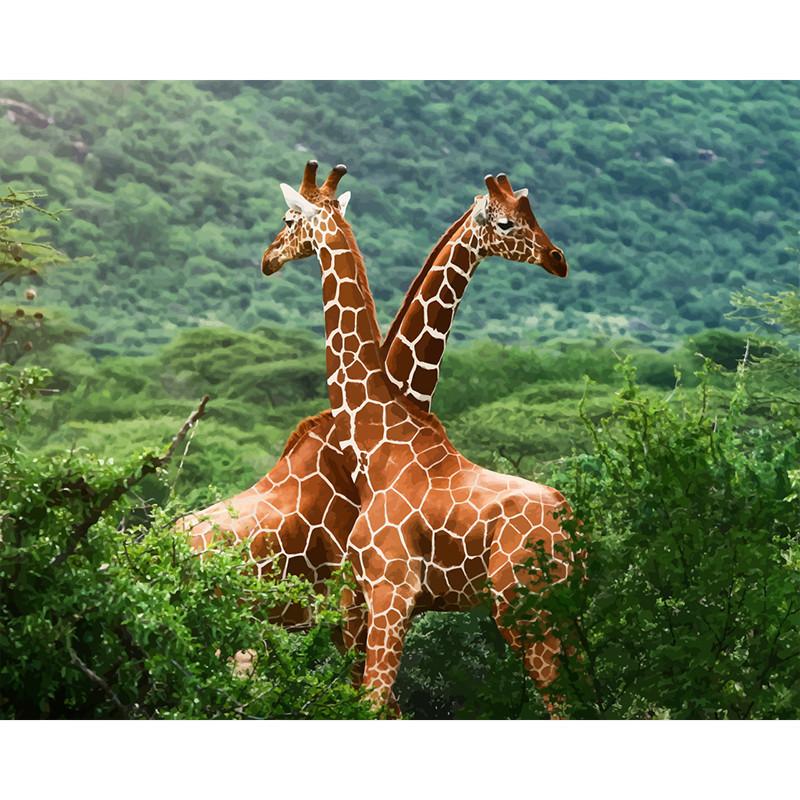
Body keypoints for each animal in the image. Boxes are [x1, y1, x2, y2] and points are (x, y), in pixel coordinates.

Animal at [261, 163, 574, 716]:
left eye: (287, 219)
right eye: (509, 223)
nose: (267, 258)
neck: (377, 439)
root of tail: (572, 524)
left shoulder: (389, 591)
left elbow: (372, 703)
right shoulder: (368, 599)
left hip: (524, 606)